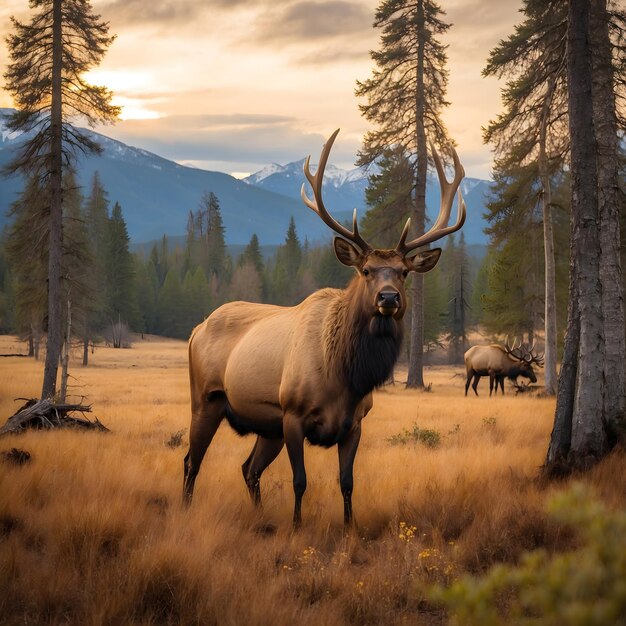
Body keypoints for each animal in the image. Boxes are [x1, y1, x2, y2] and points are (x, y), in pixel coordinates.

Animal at [180, 129, 464, 524]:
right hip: (206, 399)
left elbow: (347, 482)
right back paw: (186, 510)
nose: (388, 298)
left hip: (266, 425)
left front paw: (349, 527)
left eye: (404, 272)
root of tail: (196, 329)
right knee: (191, 461)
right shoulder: (293, 415)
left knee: (248, 468)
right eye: (366, 270)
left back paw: (260, 516)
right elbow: (300, 481)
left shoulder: (354, 423)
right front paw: (296, 526)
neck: (345, 376)